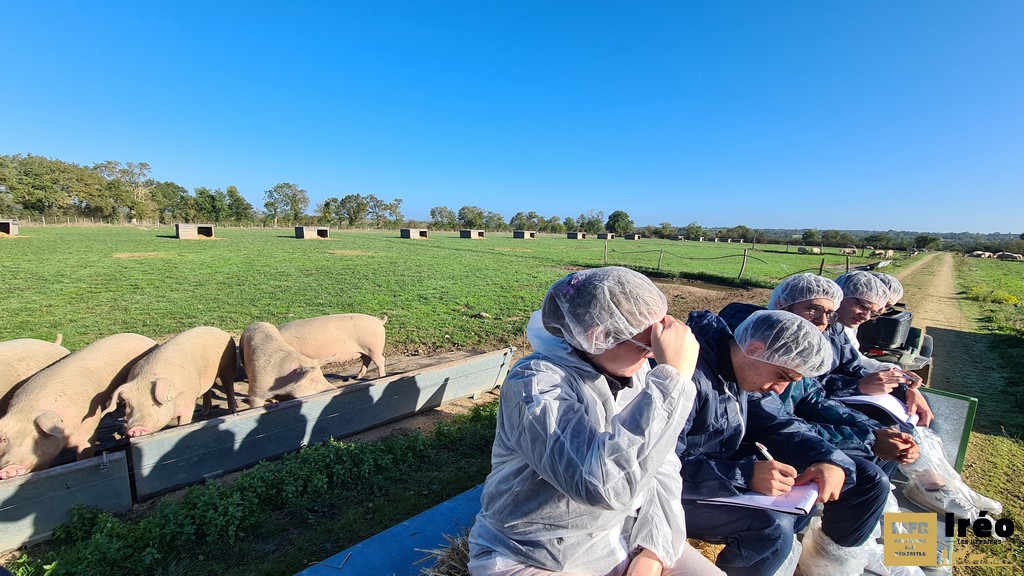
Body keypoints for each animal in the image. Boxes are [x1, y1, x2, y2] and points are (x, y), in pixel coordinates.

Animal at [107, 327, 239, 434]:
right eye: (129, 405)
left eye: (154, 403)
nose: (135, 429)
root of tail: (219, 330)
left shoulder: (188, 403)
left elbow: (184, 421)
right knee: (208, 390)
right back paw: (204, 413)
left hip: (228, 366)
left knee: (228, 387)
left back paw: (232, 411)